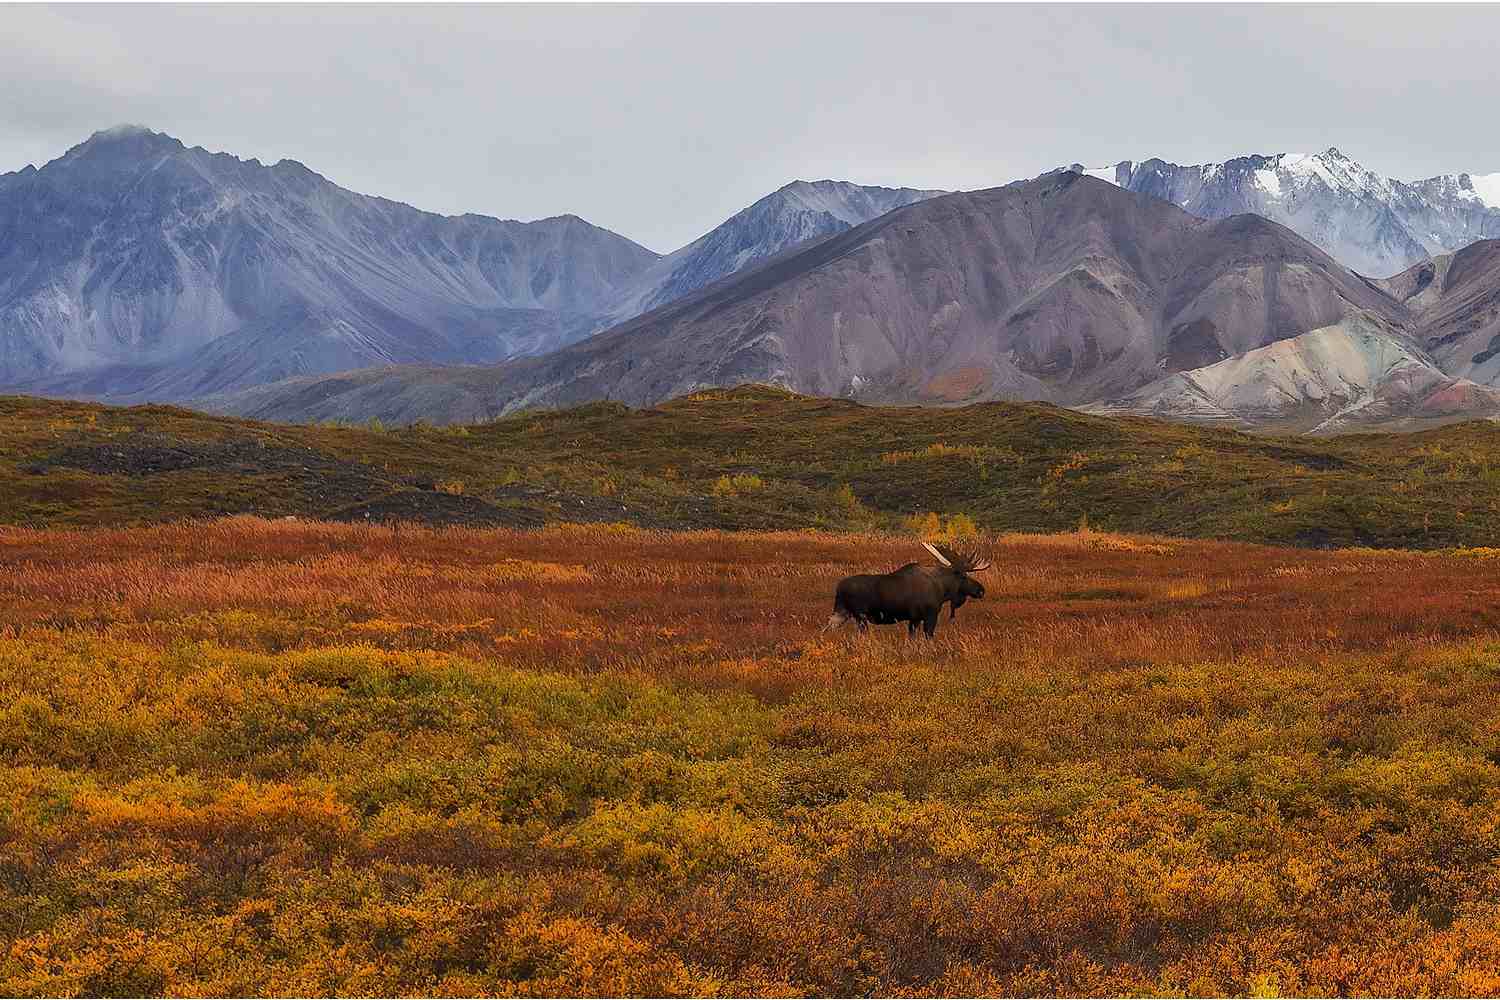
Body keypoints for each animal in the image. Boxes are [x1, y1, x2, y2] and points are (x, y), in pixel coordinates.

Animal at [828, 542, 990, 638]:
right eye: (964, 576)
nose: (981, 590)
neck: (943, 590)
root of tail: (838, 588)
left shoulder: (914, 618)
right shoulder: (930, 615)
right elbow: (928, 637)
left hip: (842, 613)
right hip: (859, 616)